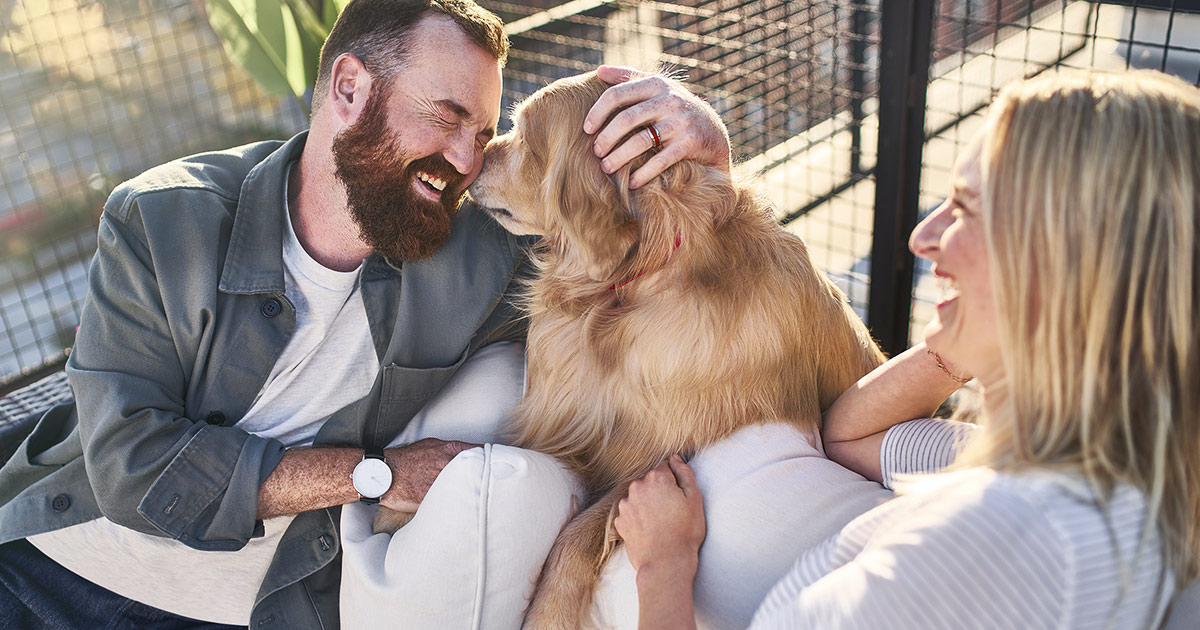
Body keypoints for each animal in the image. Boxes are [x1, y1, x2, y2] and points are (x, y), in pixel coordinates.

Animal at [463, 71, 888, 624]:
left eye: (525, 138)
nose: (475, 155)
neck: (638, 280)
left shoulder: (660, 452)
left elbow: (576, 535)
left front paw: (548, 615)